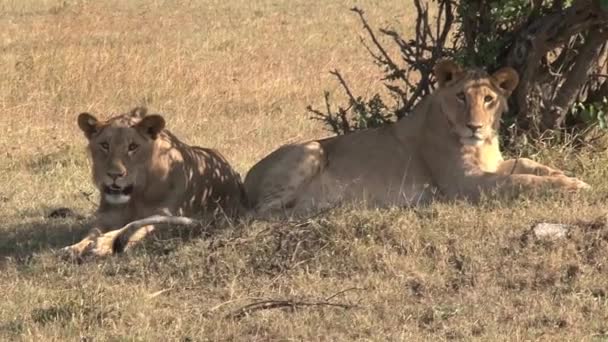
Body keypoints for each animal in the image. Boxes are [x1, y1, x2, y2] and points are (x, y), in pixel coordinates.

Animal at [62, 107, 247, 260]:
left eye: (133, 146)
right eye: (105, 145)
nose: (114, 175)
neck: (136, 196)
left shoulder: (164, 216)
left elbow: (134, 227)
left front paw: (103, 244)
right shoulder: (107, 216)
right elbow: (91, 232)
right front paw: (74, 247)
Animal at [242, 58, 588, 216]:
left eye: (489, 99)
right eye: (461, 96)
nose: (474, 127)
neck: (481, 146)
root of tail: (246, 178)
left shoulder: (491, 164)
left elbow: (526, 164)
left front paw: (566, 176)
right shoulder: (463, 184)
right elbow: (519, 181)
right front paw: (570, 187)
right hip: (311, 149)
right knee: (265, 212)